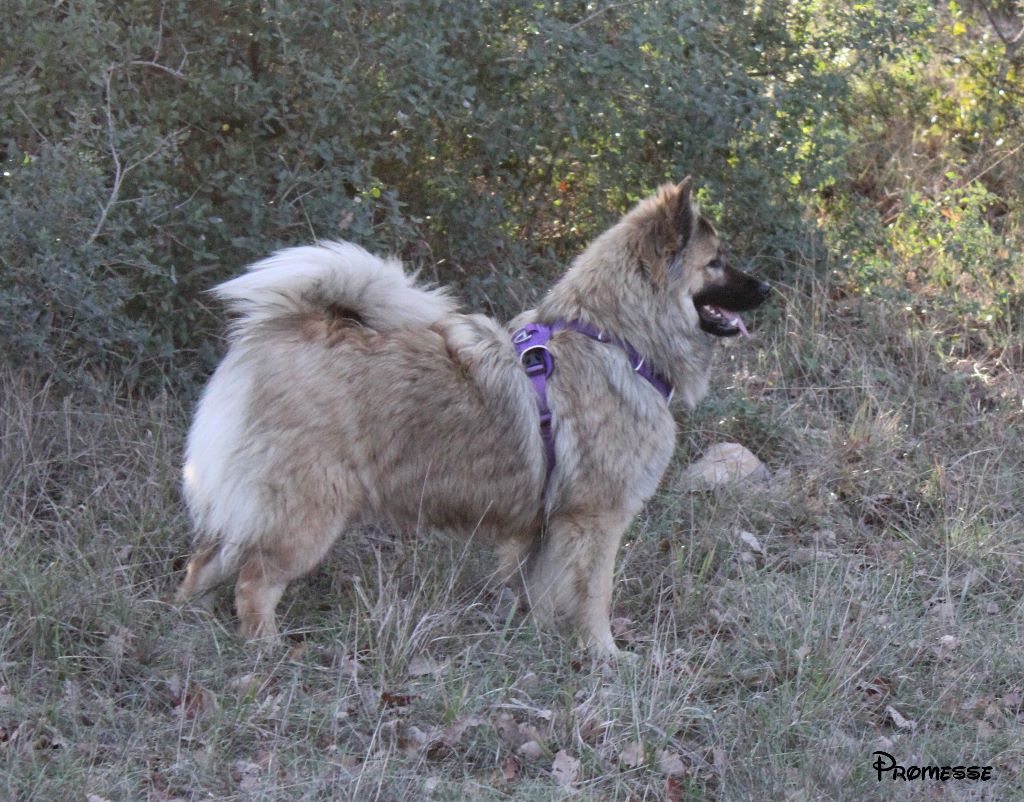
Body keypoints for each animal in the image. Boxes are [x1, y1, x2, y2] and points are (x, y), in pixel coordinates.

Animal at [176, 179, 770, 655]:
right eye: (716, 262)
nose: (767, 286)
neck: (616, 340)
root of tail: (281, 333)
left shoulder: (548, 526)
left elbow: (544, 591)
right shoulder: (595, 519)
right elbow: (594, 596)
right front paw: (605, 656)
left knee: (203, 561)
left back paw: (186, 619)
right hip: (305, 516)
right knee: (254, 581)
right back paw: (266, 650)